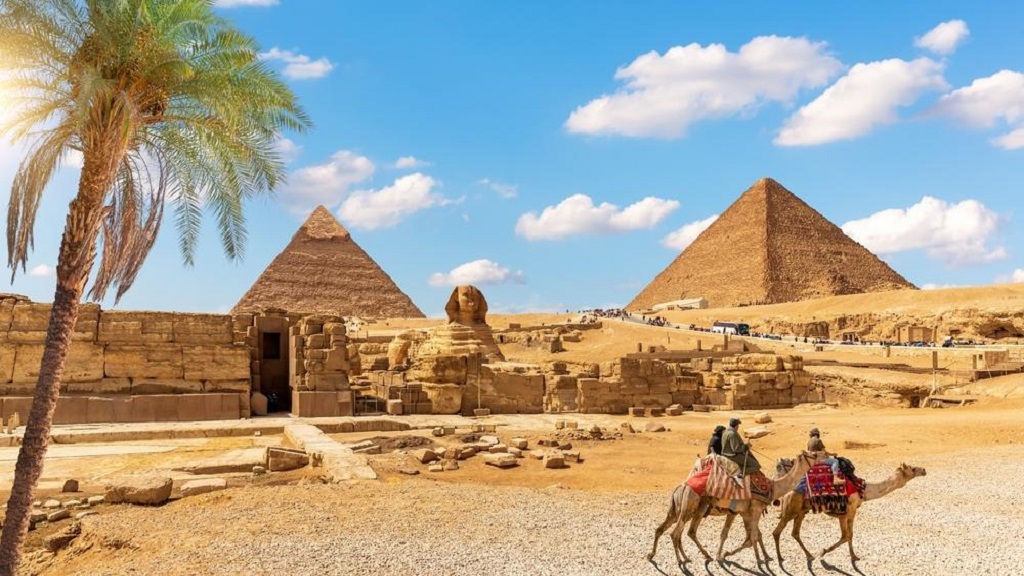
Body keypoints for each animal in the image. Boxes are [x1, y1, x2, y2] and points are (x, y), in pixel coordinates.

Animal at [647, 448, 823, 565]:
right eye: (812, 455)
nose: (821, 456)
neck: (772, 487)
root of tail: (680, 488)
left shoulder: (742, 512)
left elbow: (750, 536)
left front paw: (726, 555)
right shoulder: (753, 510)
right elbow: (752, 536)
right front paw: (759, 559)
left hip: (682, 511)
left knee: (667, 529)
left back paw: (658, 555)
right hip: (690, 508)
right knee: (677, 533)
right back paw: (681, 560)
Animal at [770, 459, 933, 561]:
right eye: (912, 468)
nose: (924, 470)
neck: (863, 489)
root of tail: (785, 492)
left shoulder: (846, 514)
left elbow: (849, 535)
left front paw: (853, 556)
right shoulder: (848, 511)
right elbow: (846, 535)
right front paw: (824, 551)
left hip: (802, 510)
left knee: (795, 533)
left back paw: (809, 555)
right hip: (791, 508)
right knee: (777, 531)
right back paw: (779, 558)